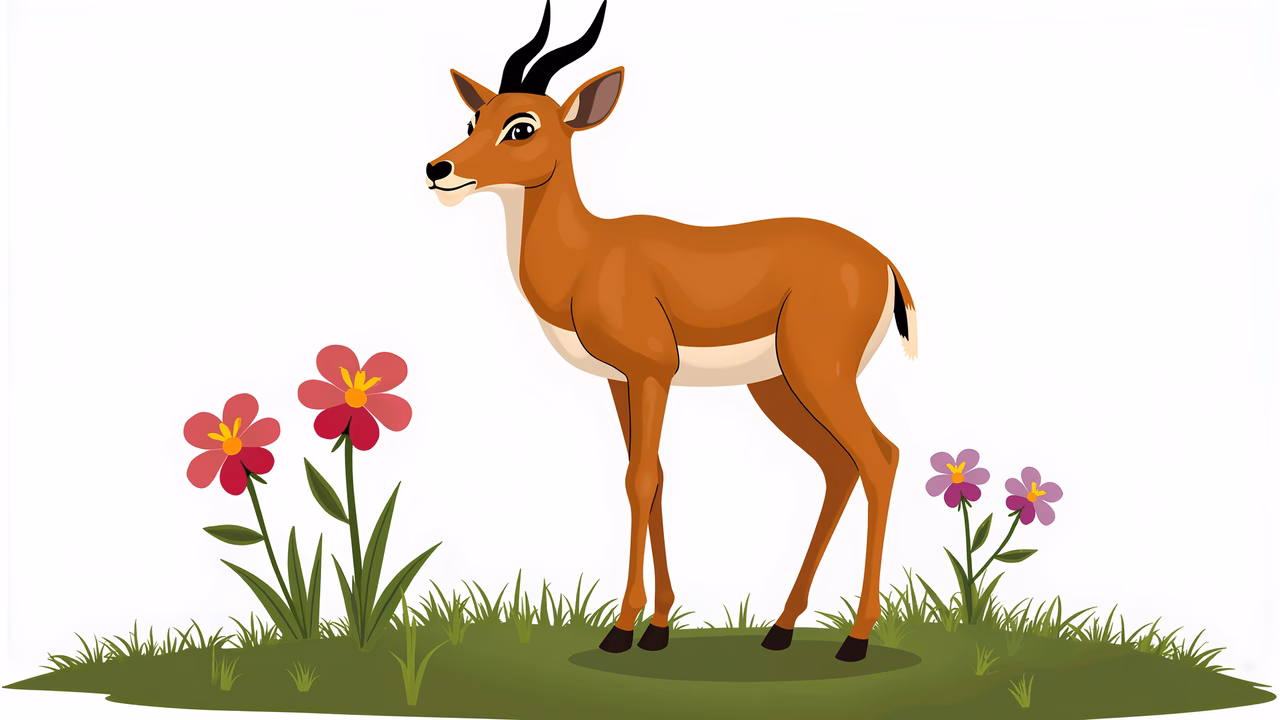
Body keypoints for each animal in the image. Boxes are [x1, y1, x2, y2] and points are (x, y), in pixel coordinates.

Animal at [426, 1, 916, 662]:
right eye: (474, 117)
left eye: (522, 126)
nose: (438, 168)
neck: (587, 257)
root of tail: (883, 263)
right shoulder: (619, 381)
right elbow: (653, 476)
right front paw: (656, 626)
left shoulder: (651, 370)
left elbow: (639, 479)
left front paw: (620, 629)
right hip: (776, 386)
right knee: (839, 468)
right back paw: (781, 629)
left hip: (818, 374)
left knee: (879, 458)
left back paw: (856, 640)